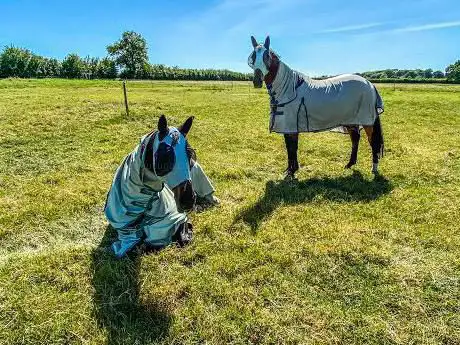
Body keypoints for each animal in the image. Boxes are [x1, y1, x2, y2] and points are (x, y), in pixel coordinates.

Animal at [105, 114, 215, 256]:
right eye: (165, 156)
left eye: (190, 154)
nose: (188, 200)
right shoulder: (125, 232)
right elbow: (134, 246)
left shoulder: (175, 218)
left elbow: (180, 235)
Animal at [248, 36, 384, 179]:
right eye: (253, 56)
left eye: (266, 56)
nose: (257, 81)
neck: (289, 89)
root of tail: (369, 84)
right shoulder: (288, 127)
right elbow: (290, 147)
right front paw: (290, 170)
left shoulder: (291, 126)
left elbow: (292, 148)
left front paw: (291, 172)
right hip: (351, 121)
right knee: (355, 139)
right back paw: (349, 164)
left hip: (367, 122)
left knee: (373, 142)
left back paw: (374, 169)